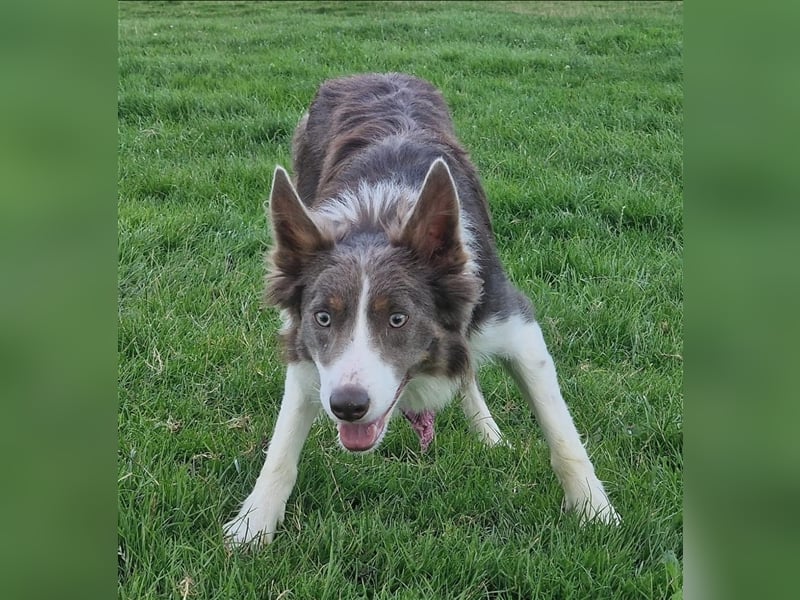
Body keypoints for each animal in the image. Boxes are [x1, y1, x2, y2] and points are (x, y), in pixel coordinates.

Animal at [223, 72, 620, 548]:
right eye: (323, 317)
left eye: (399, 318)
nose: (347, 406)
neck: (377, 217)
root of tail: (374, 72)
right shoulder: (307, 351)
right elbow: (282, 446)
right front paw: (253, 524)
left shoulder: (514, 325)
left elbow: (561, 431)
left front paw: (595, 511)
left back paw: (487, 432)